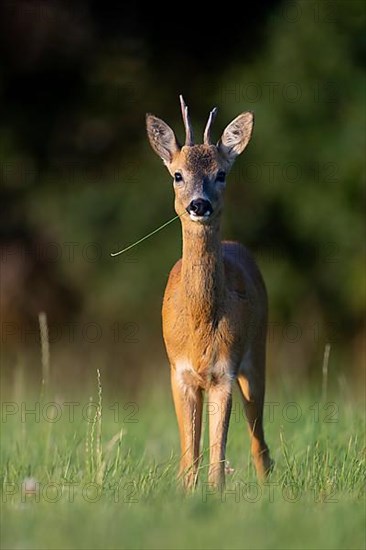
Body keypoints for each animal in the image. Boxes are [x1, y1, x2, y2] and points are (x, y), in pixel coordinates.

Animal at [146, 96, 272, 492]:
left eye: (221, 174)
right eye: (177, 174)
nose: (199, 205)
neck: (200, 324)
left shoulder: (223, 372)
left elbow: (218, 453)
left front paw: (215, 494)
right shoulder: (179, 372)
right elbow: (192, 454)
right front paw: (188, 493)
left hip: (257, 352)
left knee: (258, 436)